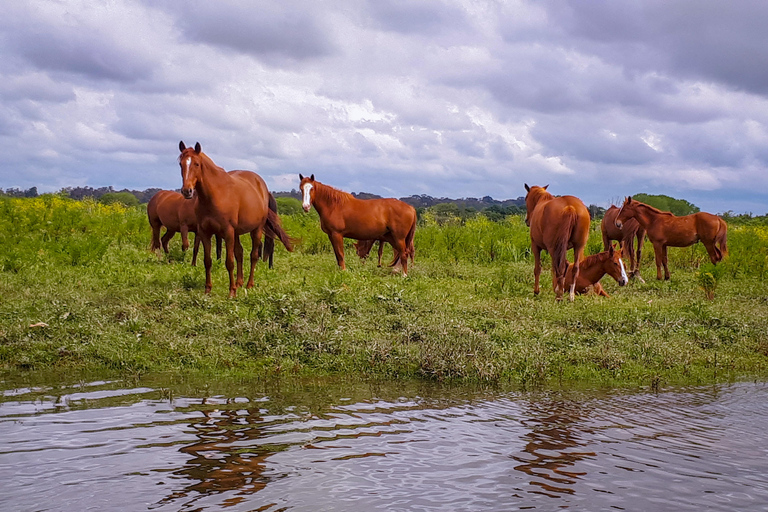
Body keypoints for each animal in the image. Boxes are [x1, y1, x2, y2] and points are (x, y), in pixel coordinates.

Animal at [178, 142, 292, 298]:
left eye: (196, 164)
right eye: (181, 164)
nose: (187, 191)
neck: (215, 195)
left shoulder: (228, 232)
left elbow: (229, 262)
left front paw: (231, 291)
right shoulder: (205, 232)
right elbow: (208, 261)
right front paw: (208, 289)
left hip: (255, 230)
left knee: (254, 255)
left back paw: (249, 284)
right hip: (237, 233)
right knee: (240, 253)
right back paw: (239, 282)